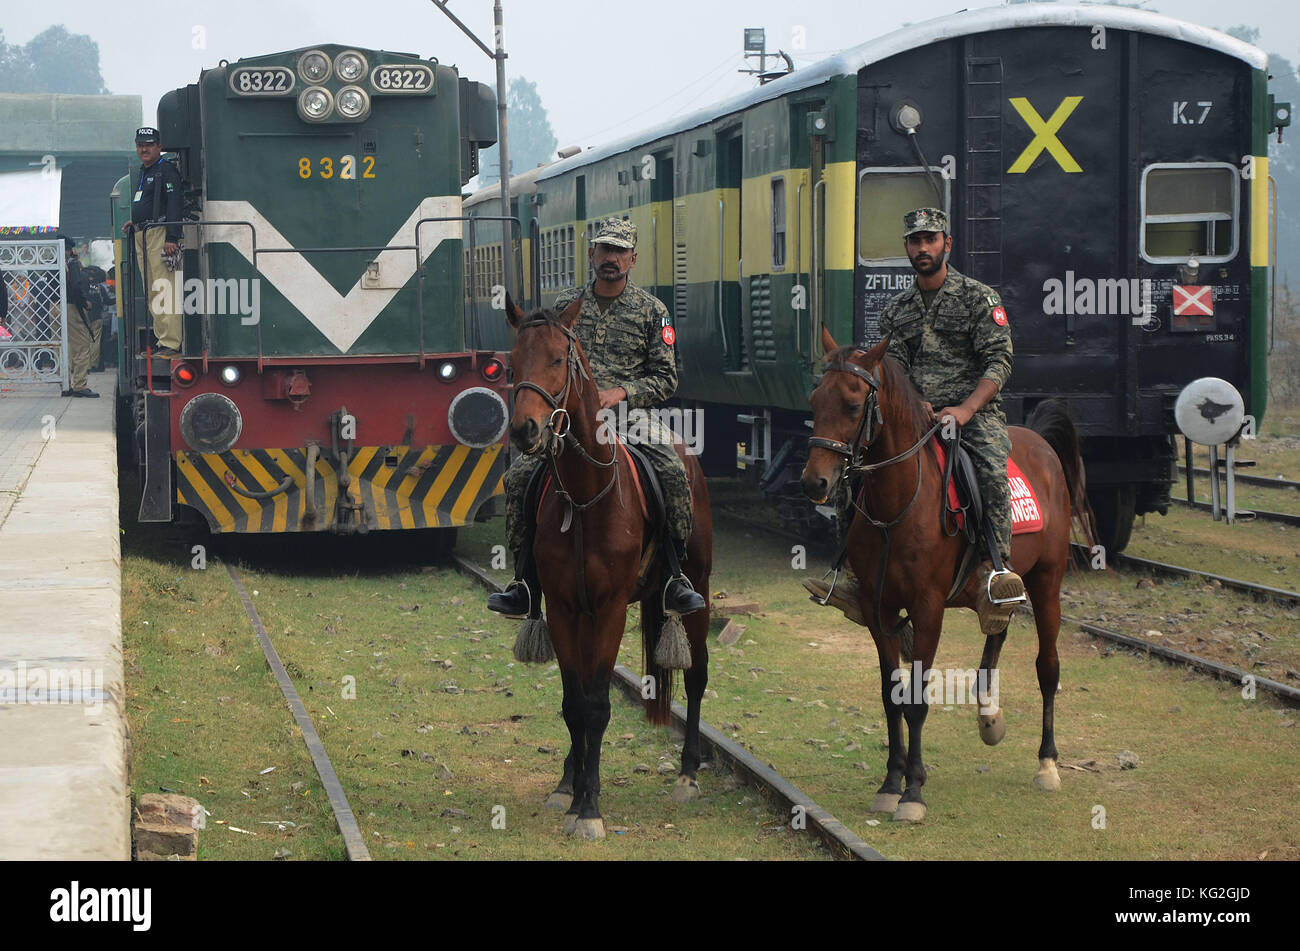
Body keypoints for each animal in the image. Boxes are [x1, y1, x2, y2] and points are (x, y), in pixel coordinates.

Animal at [504, 297, 712, 841]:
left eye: (558, 359)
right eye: (510, 363)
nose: (525, 430)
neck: (584, 495)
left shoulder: (610, 609)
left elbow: (597, 705)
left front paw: (590, 808)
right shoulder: (564, 608)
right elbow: (573, 703)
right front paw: (571, 790)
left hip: (700, 587)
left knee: (697, 674)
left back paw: (687, 775)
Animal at [800, 324, 1097, 815]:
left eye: (853, 404)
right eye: (813, 400)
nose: (814, 481)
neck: (898, 504)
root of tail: (1038, 441)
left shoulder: (928, 610)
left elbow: (918, 701)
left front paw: (913, 791)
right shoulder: (879, 609)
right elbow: (891, 697)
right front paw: (890, 783)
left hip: (1047, 581)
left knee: (1047, 667)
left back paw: (1047, 763)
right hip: (1002, 589)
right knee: (997, 630)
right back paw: (989, 715)